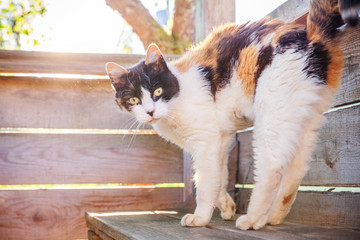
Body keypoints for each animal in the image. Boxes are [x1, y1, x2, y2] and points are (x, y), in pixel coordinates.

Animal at [105, 0, 358, 231]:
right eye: (134, 100)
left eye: (157, 91)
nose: (150, 111)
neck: (177, 98)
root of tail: (311, 35)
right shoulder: (221, 138)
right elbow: (217, 176)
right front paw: (225, 206)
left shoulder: (206, 141)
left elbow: (205, 180)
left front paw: (200, 218)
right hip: (304, 119)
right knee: (295, 172)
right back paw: (272, 217)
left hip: (272, 116)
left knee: (272, 169)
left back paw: (252, 219)